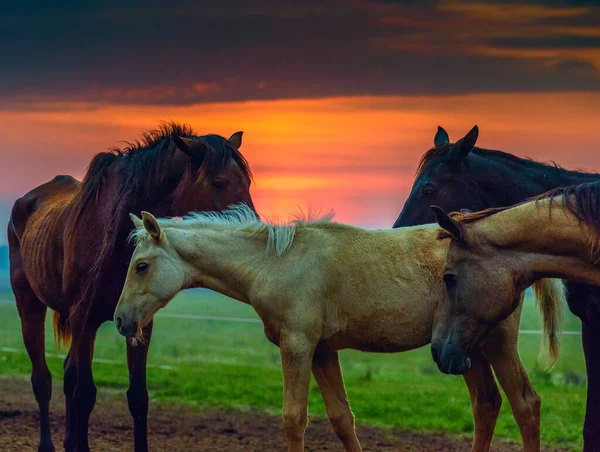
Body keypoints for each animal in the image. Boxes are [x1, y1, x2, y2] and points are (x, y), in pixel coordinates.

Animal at [7, 122, 255, 450]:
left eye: (247, 182)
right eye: (218, 182)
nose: (254, 229)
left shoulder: (138, 320)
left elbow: (137, 397)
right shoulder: (84, 319)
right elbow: (85, 393)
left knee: (67, 376)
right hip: (29, 305)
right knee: (42, 380)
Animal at [113, 205, 564, 452]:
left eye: (141, 266)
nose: (120, 320)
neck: (277, 263)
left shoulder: (297, 346)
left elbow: (294, 418)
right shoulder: (323, 351)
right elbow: (341, 418)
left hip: (496, 343)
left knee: (526, 405)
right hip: (464, 349)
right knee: (487, 405)